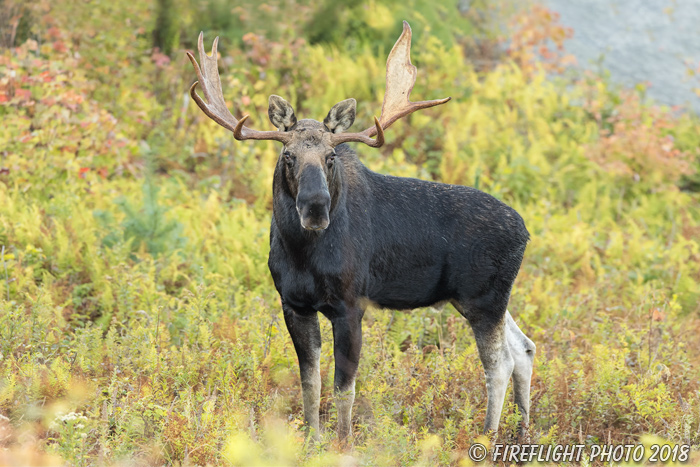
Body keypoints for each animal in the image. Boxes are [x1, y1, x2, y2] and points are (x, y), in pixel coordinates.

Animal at [186, 22, 536, 444]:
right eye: (288, 156)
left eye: (331, 157)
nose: (316, 207)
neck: (303, 255)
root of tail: (526, 232)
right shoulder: (294, 304)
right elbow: (310, 382)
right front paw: (312, 437)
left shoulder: (351, 304)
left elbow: (344, 387)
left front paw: (343, 441)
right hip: (484, 298)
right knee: (524, 348)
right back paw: (523, 429)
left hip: (482, 299)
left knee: (499, 364)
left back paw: (486, 436)